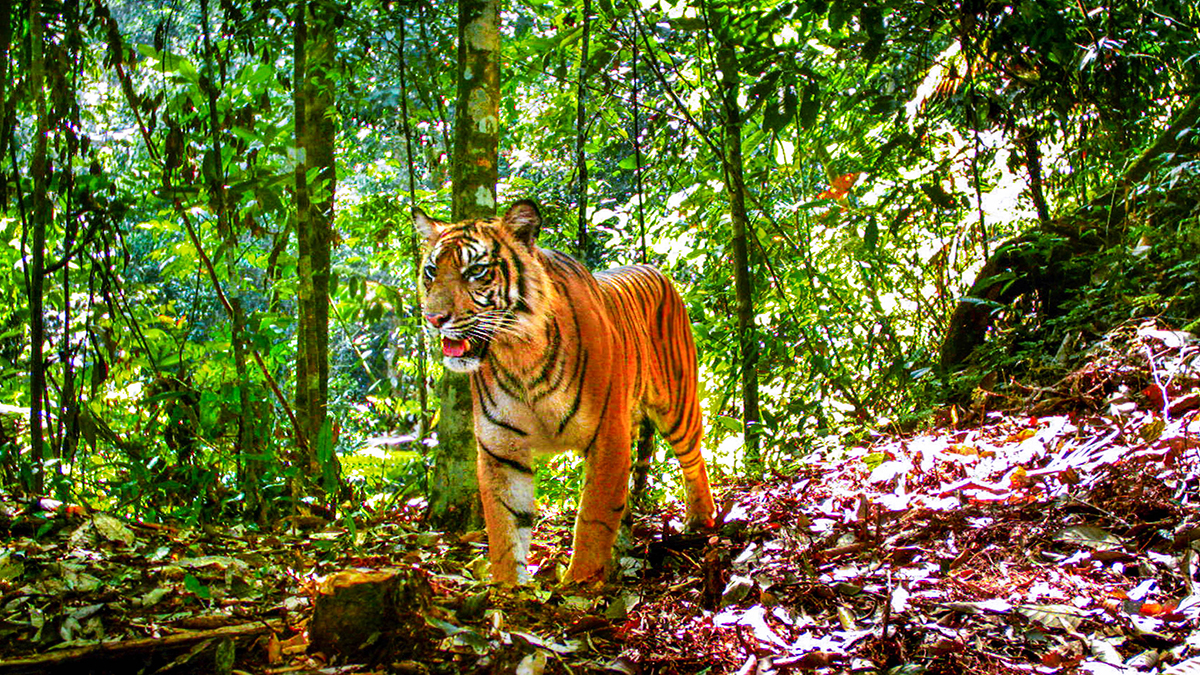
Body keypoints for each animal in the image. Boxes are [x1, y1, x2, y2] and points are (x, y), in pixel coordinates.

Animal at [415, 196, 710, 581]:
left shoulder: (607, 435)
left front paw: (579, 583)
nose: (433, 319)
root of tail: (654, 267)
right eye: (431, 271)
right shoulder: (501, 450)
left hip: (678, 405)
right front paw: (508, 588)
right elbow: (504, 528)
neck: (519, 355)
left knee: (694, 460)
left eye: (476, 271)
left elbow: (593, 518)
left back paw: (702, 520)